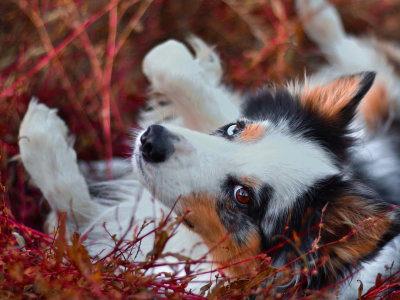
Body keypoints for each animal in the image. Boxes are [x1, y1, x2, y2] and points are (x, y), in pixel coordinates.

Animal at [18, 0, 400, 296]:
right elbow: (167, 62)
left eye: (243, 196)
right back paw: (315, 13)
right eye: (235, 128)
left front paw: (39, 134)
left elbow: (74, 223)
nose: (151, 140)